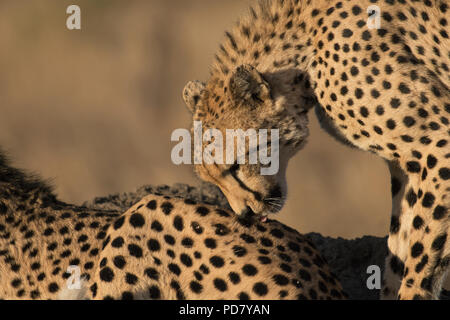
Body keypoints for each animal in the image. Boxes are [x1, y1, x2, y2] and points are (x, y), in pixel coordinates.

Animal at [182, 0, 450, 300]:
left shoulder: (438, 144)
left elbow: (421, 254)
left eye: (236, 165)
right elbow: (400, 245)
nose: (245, 215)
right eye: (211, 179)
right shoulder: (407, 164)